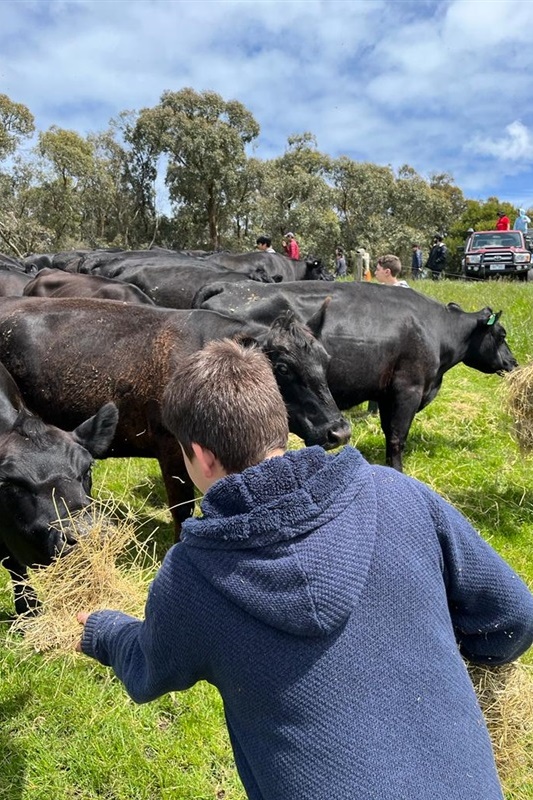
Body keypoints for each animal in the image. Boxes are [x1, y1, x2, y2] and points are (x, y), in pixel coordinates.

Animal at [195, 280, 516, 468]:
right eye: (501, 334)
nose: (513, 362)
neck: (435, 329)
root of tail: (230, 285)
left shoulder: (386, 393)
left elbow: (388, 431)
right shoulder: (408, 388)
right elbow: (397, 437)